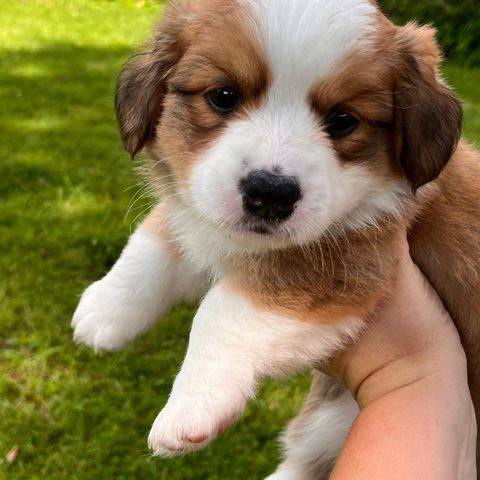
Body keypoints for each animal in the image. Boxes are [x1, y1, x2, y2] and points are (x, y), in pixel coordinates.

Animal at [71, 0, 480, 476]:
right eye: (223, 96)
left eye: (343, 120)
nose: (270, 193)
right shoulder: (200, 209)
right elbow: (156, 237)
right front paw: (107, 309)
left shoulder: (342, 263)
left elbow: (221, 310)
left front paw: (192, 405)